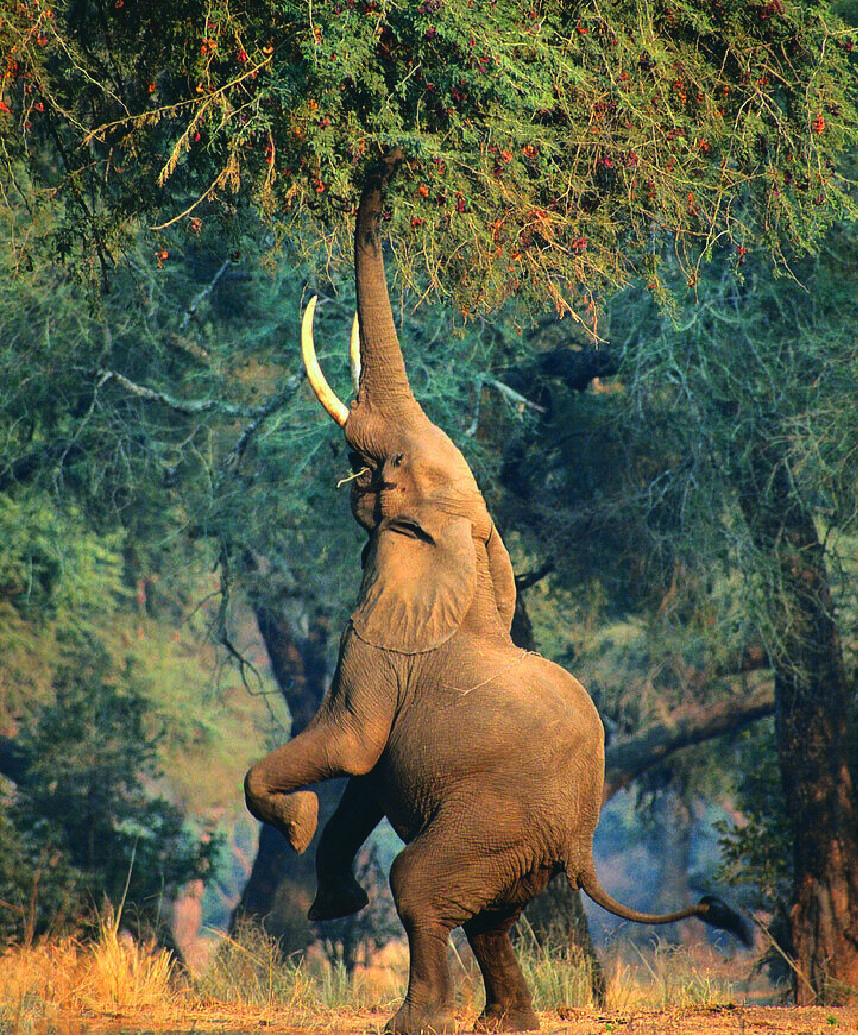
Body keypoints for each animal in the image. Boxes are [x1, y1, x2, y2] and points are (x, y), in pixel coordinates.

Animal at [244, 151, 749, 1035]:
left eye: (392, 466)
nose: (384, 162)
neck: (467, 552)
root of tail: (582, 845)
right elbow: (366, 783)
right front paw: (331, 900)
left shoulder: (378, 641)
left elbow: (352, 745)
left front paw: (298, 828)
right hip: (520, 848)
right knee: (489, 917)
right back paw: (501, 1021)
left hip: (496, 820)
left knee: (420, 885)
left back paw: (417, 1021)